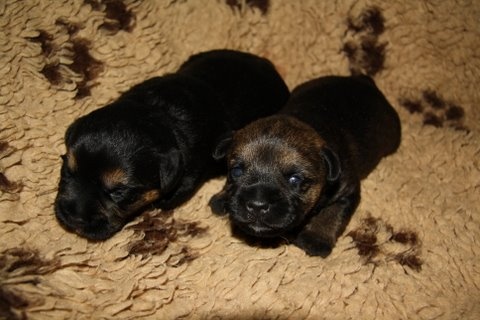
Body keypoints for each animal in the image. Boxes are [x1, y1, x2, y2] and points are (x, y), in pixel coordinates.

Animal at [210, 75, 402, 258]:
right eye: (236, 172)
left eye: (295, 179)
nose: (257, 205)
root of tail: (364, 81)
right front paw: (222, 197)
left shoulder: (347, 189)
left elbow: (333, 213)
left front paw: (315, 239)